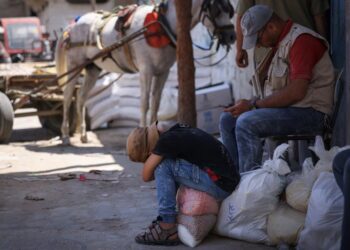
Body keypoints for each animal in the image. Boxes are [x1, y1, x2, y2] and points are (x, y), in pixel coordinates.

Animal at [55, 0, 235, 145]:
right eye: (216, 10)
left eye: (230, 11)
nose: (231, 36)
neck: (160, 26)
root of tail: (72, 25)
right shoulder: (146, 71)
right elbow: (144, 103)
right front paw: (142, 134)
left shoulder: (162, 72)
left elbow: (155, 103)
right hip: (75, 66)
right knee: (68, 95)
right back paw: (65, 135)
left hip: (92, 68)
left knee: (81, 97)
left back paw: (83, 135)